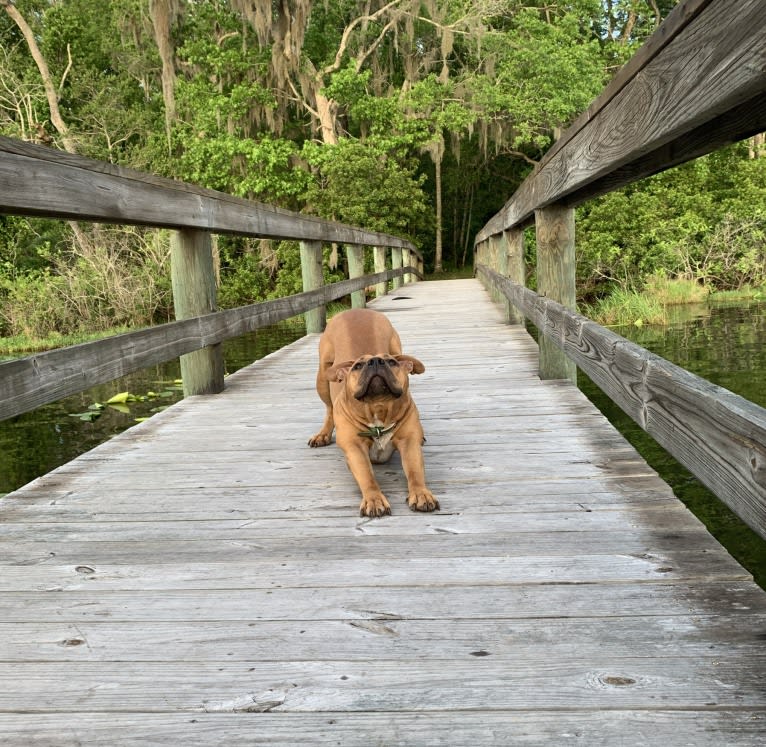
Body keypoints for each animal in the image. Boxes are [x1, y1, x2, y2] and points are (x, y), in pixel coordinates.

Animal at [308, 306, 438, 516]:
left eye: (392, 363)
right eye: (358, 366)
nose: (376, 361)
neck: (378, 408)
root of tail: (356, 310)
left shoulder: (409, 443)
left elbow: (415, 471)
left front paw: (421, 494)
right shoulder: (354, 448)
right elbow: (366, 475)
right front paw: (374, 499)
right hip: (323, 376)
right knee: (329, 408)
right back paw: (322, 435)